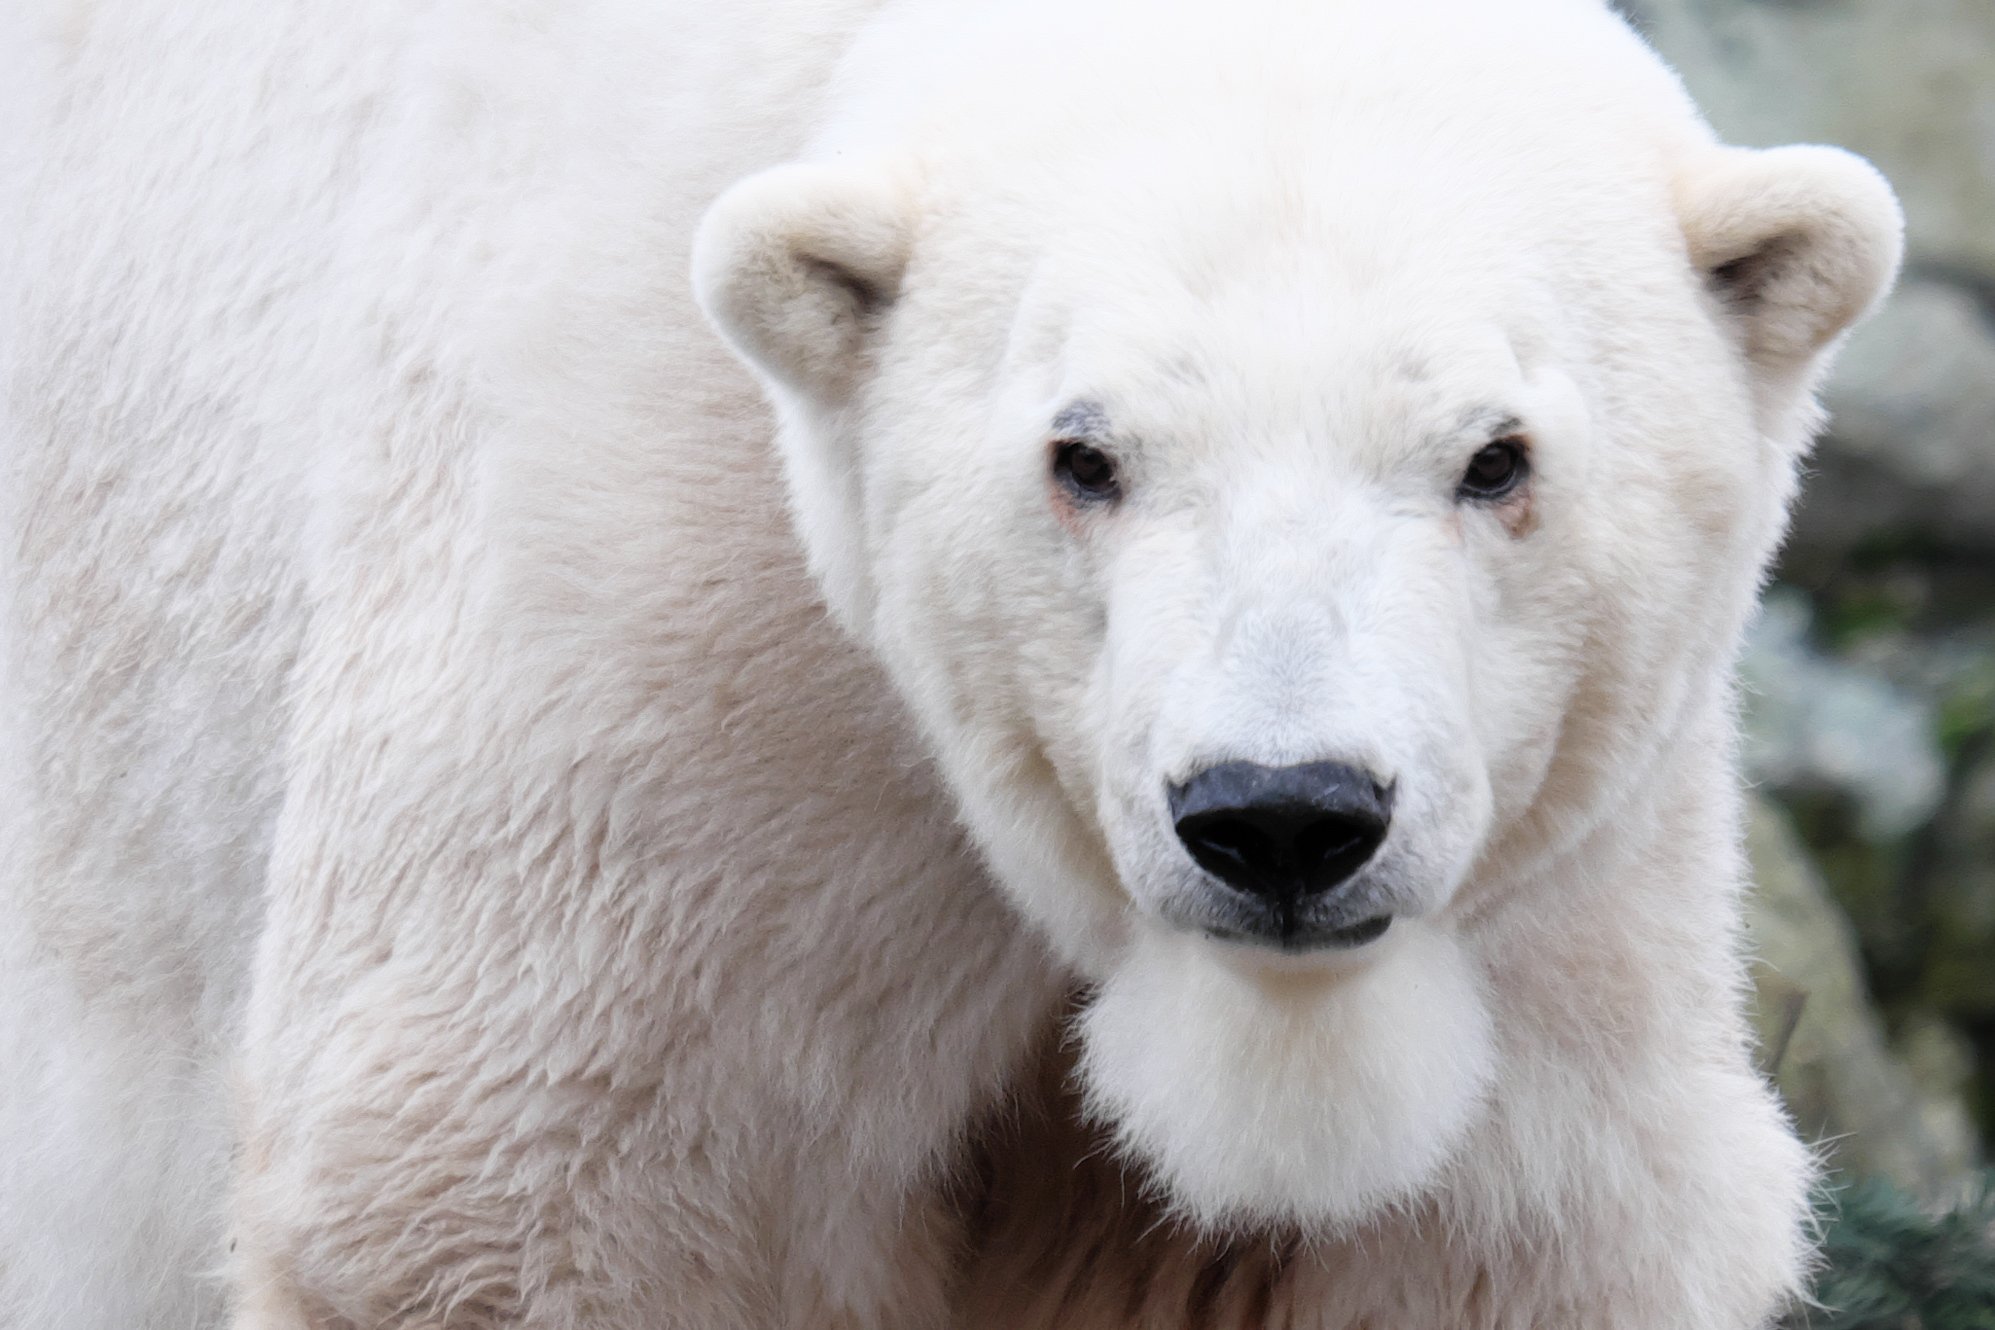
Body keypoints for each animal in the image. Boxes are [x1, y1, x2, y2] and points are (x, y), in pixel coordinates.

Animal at [0, 0, 1899, 1324]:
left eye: (1496, 457)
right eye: (1084, 454)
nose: (1281, 816)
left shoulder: (1561, 887)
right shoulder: (669, 679)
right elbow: (518, 1201)